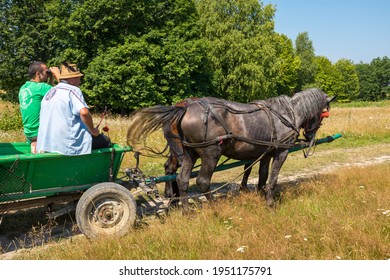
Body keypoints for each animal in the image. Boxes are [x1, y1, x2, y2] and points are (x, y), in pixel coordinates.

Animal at [128, 88, 336, 207]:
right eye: (323, 113)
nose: (309, 137)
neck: (287, 112)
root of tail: (183, 108)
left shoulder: (266, 153)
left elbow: (262, 175)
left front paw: (260, 194)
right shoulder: (281, 152)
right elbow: (272, 178)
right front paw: (270, 202)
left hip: (189, 153)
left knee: (181, 178)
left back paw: (182, 207)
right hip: (210, 153)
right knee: (202, 181)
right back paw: (212, 206)